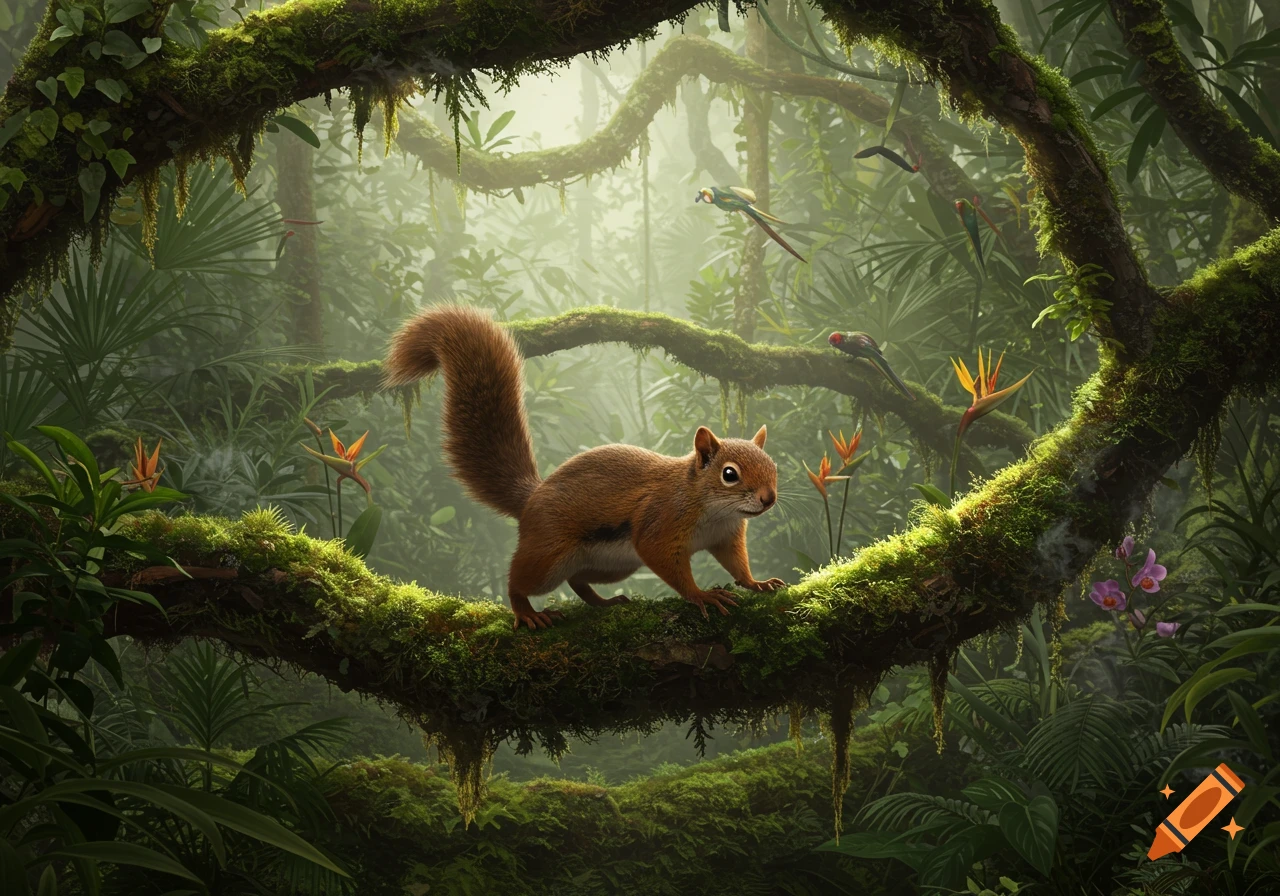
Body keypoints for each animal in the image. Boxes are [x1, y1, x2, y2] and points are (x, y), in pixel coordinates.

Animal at [383, 304, 786, 630]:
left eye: (773, 467)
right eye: (729, 474)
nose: (768, 499)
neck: (711, 507)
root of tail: (532, 498)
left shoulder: (726, 536)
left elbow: (737, 565)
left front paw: (758, 583)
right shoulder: (660, 523)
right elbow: (668, 563)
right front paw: (702, 595)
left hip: (614, 564)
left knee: (578, 580)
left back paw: (605, 602)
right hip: (549, 553)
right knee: (519, 580)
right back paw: (526, 611)